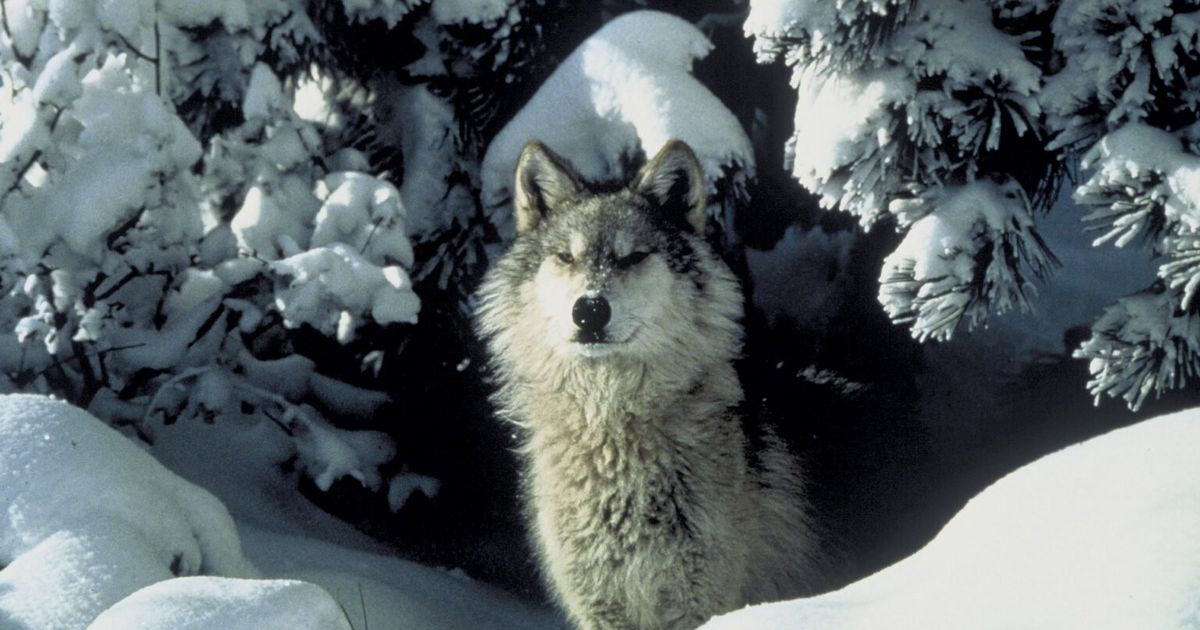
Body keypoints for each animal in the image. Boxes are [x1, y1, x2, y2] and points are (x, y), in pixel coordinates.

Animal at [475, 140, 819, 630]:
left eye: (632, 257)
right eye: (566, 257)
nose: (590, 309)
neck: (611, 431)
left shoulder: (699, 604)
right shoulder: (601, 609)